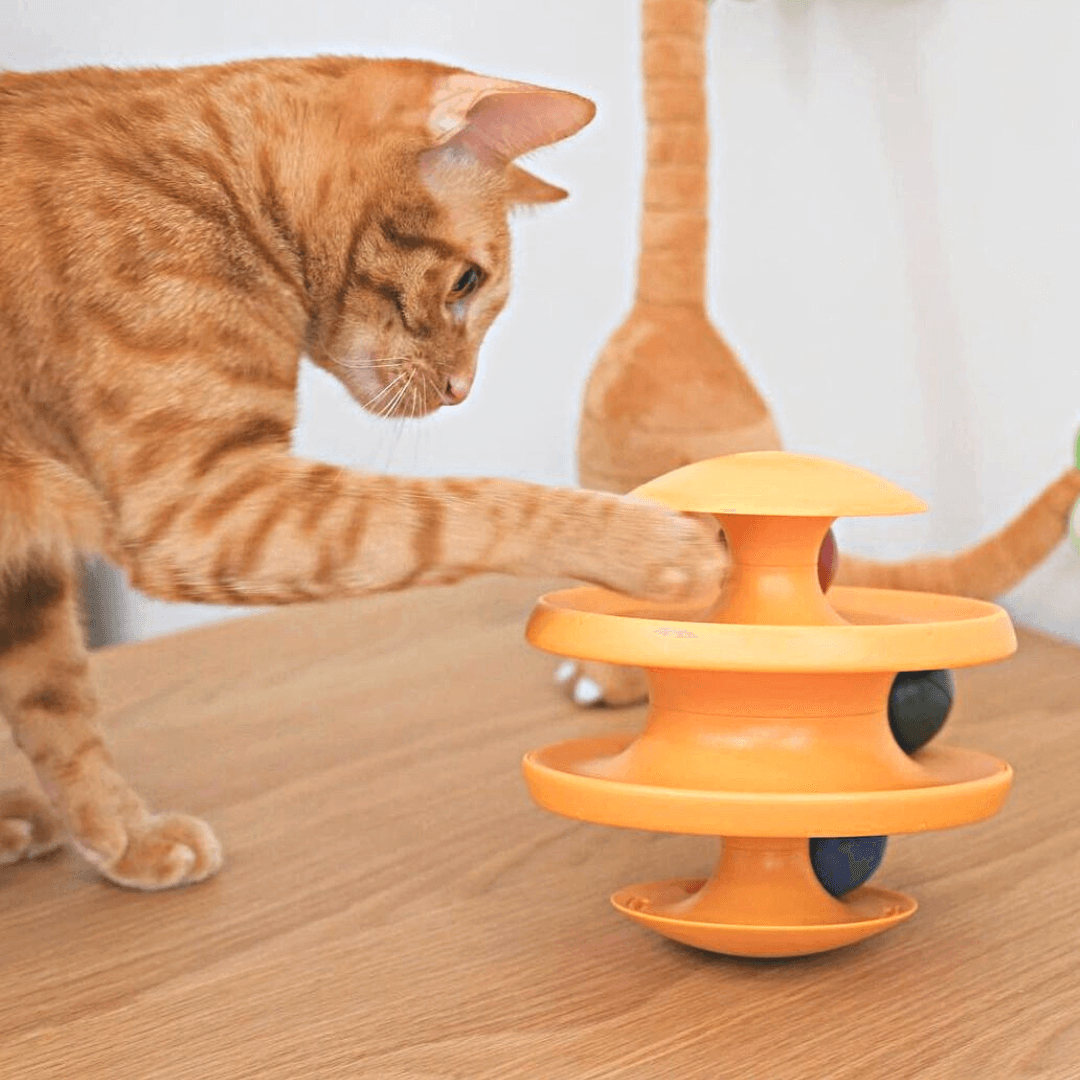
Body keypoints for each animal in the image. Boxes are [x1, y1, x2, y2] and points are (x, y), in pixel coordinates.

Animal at [2, 54, 725, 889]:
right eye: (467, 283)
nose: (461, 390)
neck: (221, 190)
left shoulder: (31, 576)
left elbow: (60, 712)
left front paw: (122, 837)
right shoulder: (205, 507)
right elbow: (476, 504)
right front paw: (665, 546)